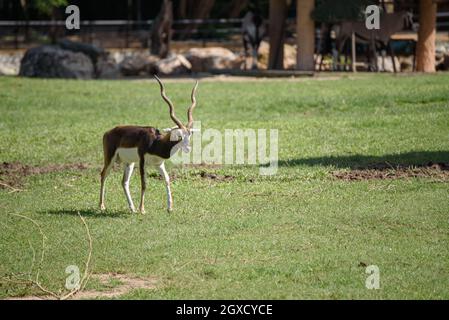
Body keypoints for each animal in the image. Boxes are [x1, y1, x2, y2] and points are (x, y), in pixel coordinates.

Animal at [100, 75, 198, 212]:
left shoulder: (159, 164)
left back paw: (132, 208)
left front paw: (170, 207)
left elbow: (167, 180)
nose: (188, 148)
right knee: (103, 174)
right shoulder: (142, 162)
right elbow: (144, 184)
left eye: (189, 135)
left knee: (124, 182)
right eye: (179, 135)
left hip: (129, 163)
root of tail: (108, 132)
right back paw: (102, 206)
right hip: (110, 158)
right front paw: (142, 209)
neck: (156, 143)